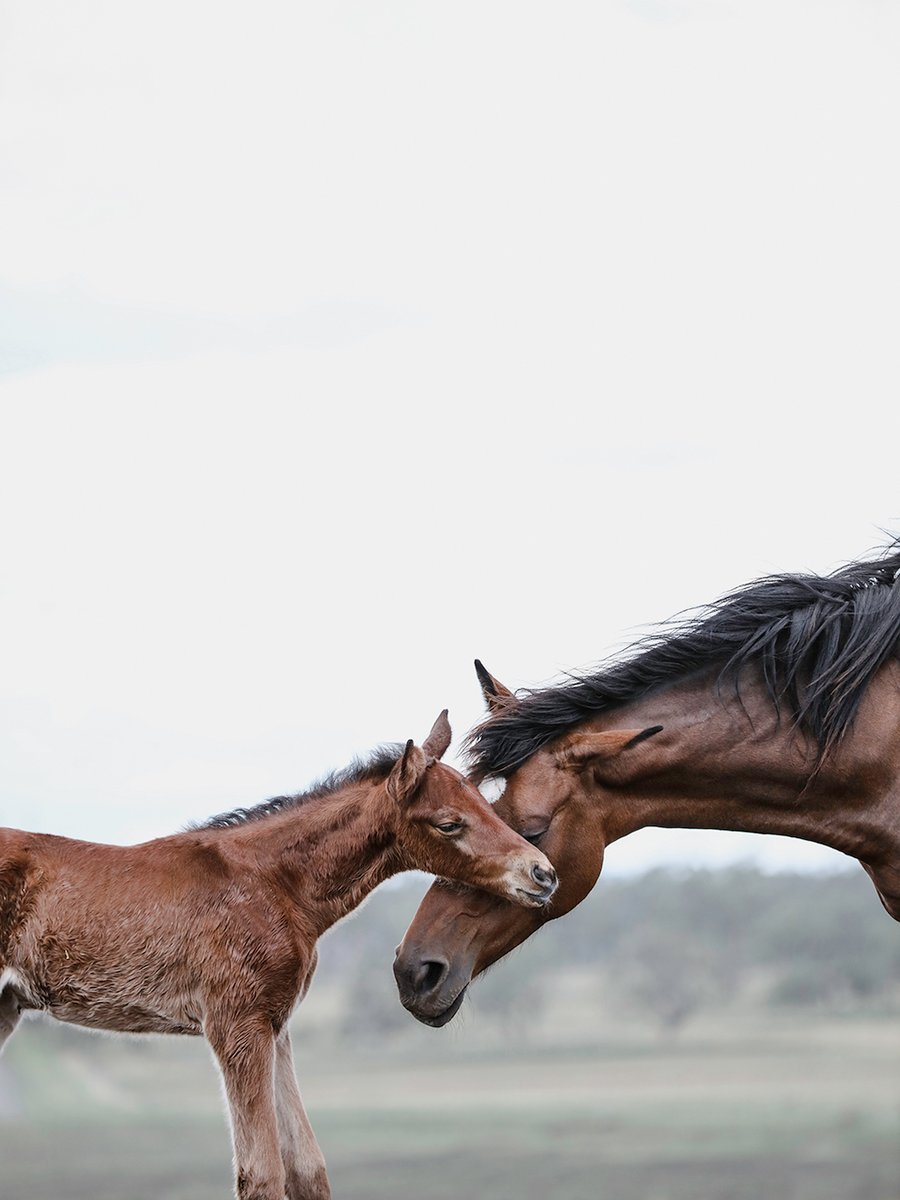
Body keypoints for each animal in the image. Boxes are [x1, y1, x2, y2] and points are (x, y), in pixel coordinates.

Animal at [0, 710, 561, 1200]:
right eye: (448, 824)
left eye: (485, 802)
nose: (542, 873)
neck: (275, 885)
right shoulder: (236, 1024)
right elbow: (262, 1173)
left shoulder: (276, 1025)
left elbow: (307, 1169)